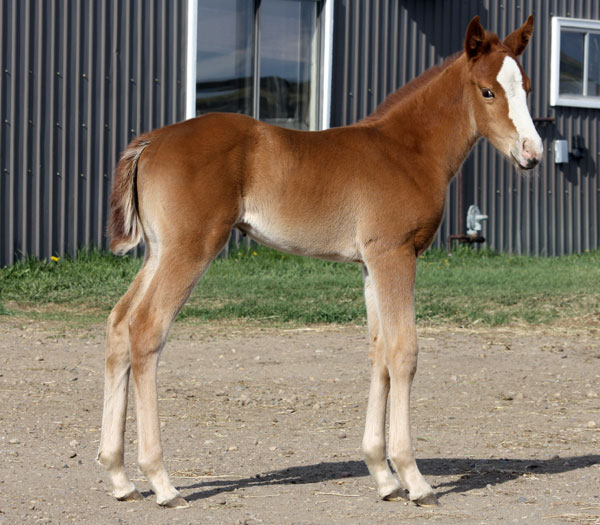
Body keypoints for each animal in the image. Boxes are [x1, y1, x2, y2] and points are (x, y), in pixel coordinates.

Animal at [98, 16, 544, 506]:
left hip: (159, 251)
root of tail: (152, 140)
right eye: (487, 91)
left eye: (525, 86)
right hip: (190, 248)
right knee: (146, 329)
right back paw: (161, 481)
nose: (532, 153)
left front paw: (383, 477)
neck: (407, 150)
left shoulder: (370, 263)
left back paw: (119, 476)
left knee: (119, 323)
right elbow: (403, 352)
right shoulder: (395, 254)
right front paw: (414, 479)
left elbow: (379, 352)